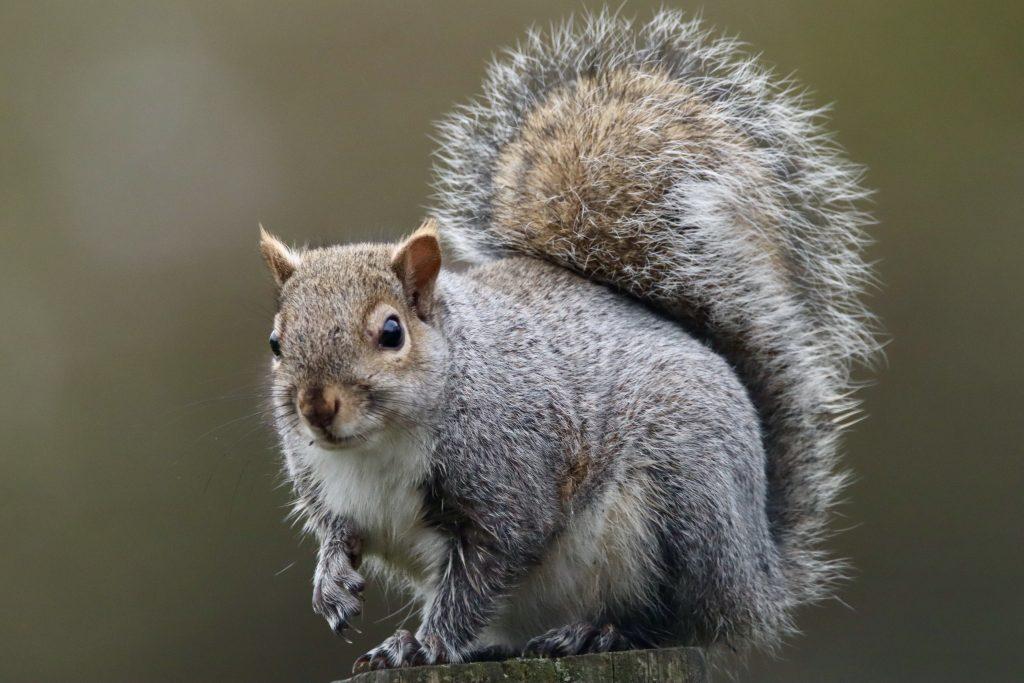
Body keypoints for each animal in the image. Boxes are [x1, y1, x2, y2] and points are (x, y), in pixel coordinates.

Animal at [258, 10, 877, 673]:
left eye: (391, 332)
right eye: (275, 342)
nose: (317, 408)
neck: (374, 449)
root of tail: (758, 577)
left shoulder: (511, 482)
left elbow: (481, 572)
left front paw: (425, 645)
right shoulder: (328, 488)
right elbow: (340, 534)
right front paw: (332, 583)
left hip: (683, 508)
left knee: (677, 617)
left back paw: (598, 633)